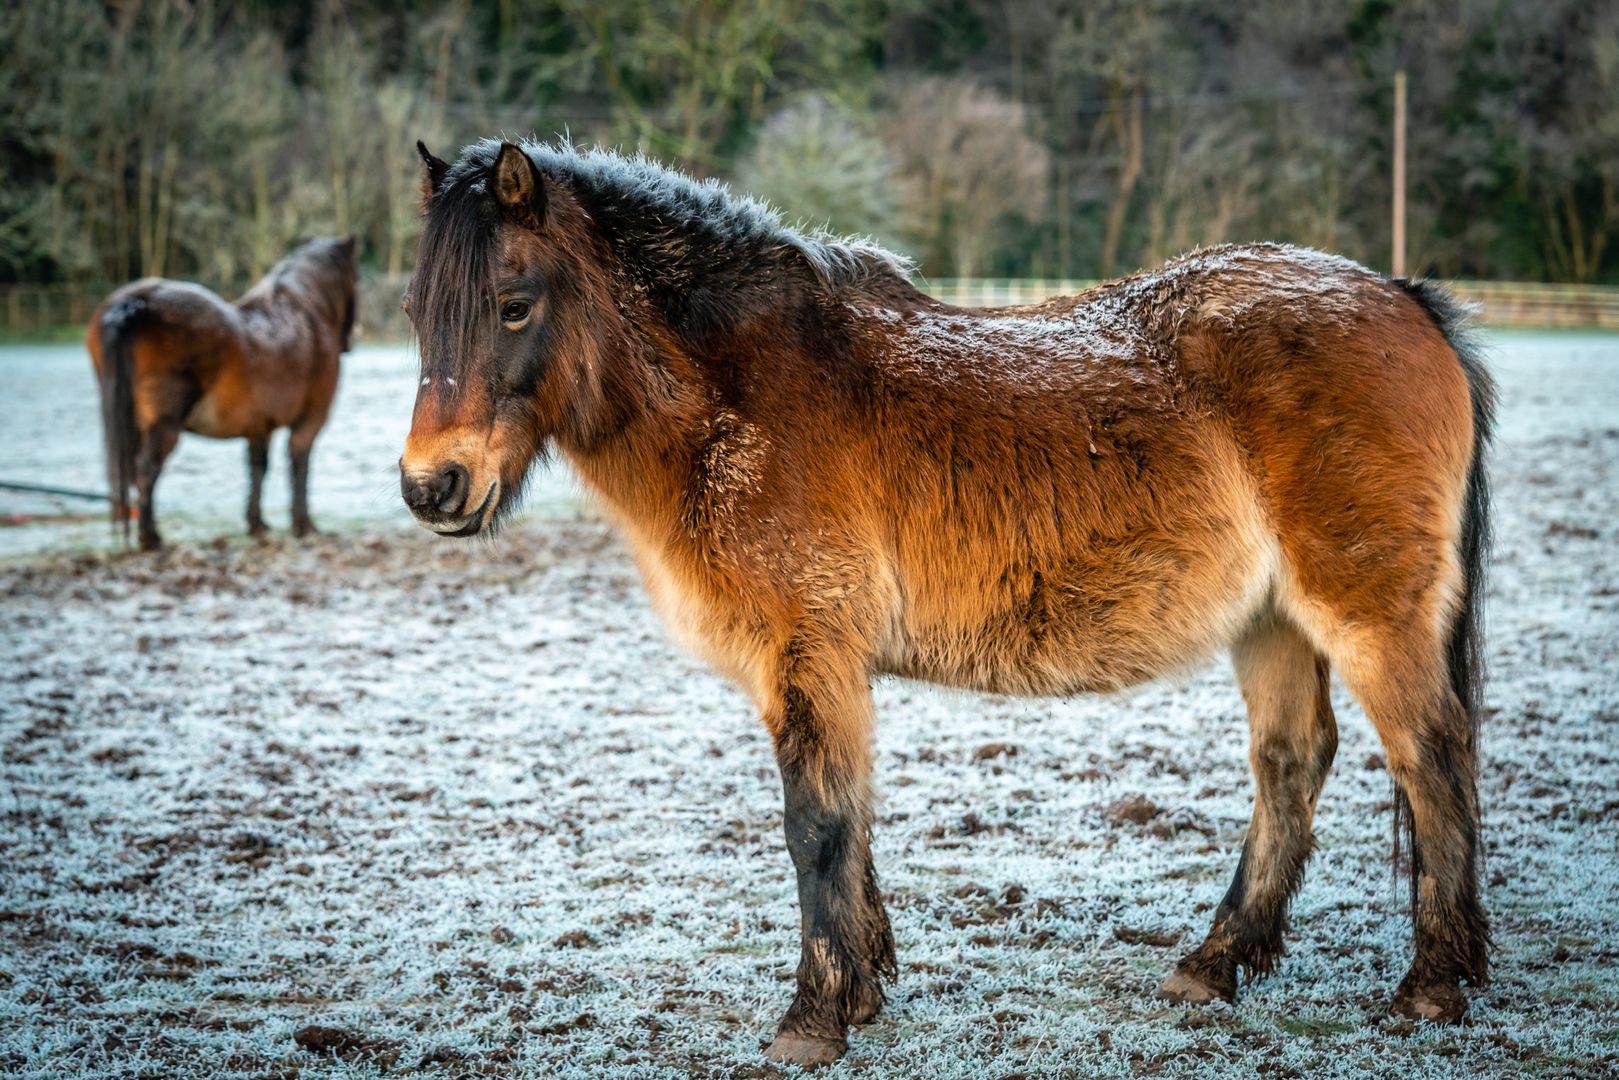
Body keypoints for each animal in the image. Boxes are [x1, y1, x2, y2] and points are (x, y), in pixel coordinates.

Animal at [87, 239, 359, 553]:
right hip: (163, 426)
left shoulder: (259, 426)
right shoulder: (309, 422)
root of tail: (136, 303)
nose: (351, 339)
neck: (304, 314)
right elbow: (299, 468)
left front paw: (257, 524)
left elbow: (258, 469)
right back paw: (151, 538)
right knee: (145, 471)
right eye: (356, 278)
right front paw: (303, 526)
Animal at [401, 139, 1489, 1068]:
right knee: (1289, 765)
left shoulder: (807, 652)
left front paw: (811, 1019)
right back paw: (1212, 965)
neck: (738, 395)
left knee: (1429, 756)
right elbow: (850, 815)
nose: (431, 486)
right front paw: (862, 989)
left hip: (1366, 615)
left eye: (511, 304)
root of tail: (1400, 297)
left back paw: (1430, 988)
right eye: (415, 309)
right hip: (1270, 623)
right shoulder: (824, 667)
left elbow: (814, 825)